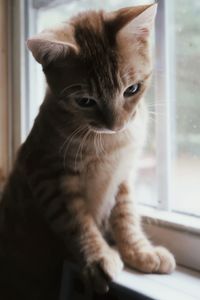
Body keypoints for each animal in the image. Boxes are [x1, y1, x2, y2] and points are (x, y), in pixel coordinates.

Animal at [0, 2, 175, 300]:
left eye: (132, 89)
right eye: (85, 101)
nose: (116, 125)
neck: (110, 143)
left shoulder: (123, 176)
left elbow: (127, 216)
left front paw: (140, 251)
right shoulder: (49, 176)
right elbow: (76, 222)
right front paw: (97, 259)